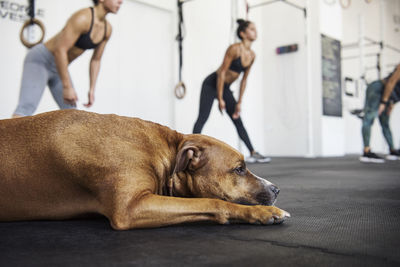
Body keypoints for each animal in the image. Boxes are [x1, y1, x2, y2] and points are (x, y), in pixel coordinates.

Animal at [0, 111, 290, 230]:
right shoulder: (130, 208)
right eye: (239, 169)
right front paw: (262, 213)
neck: (165, 152)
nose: (276, 188)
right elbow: (213, 202)